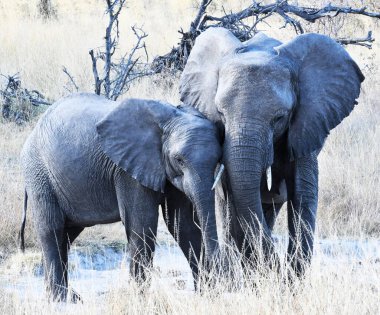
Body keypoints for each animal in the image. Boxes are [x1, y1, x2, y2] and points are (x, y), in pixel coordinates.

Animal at [20, 93, 223, 302]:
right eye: (179, 160)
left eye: (218, 158)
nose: (222, 280)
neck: (169, 117)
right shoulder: (126, 170)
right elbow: (142, 225)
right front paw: (139, 300)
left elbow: (183, 224)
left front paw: (208, 295)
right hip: (38, 174)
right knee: (51, 230)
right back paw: (59, 299)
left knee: (66, 236)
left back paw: (69, 298)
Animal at [180, 28, 364, 278]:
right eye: (220, 114)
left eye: (279, 118)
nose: (278, 270)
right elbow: (234, 199)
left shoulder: (306, 125)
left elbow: (303, 194)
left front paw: (290, 280)